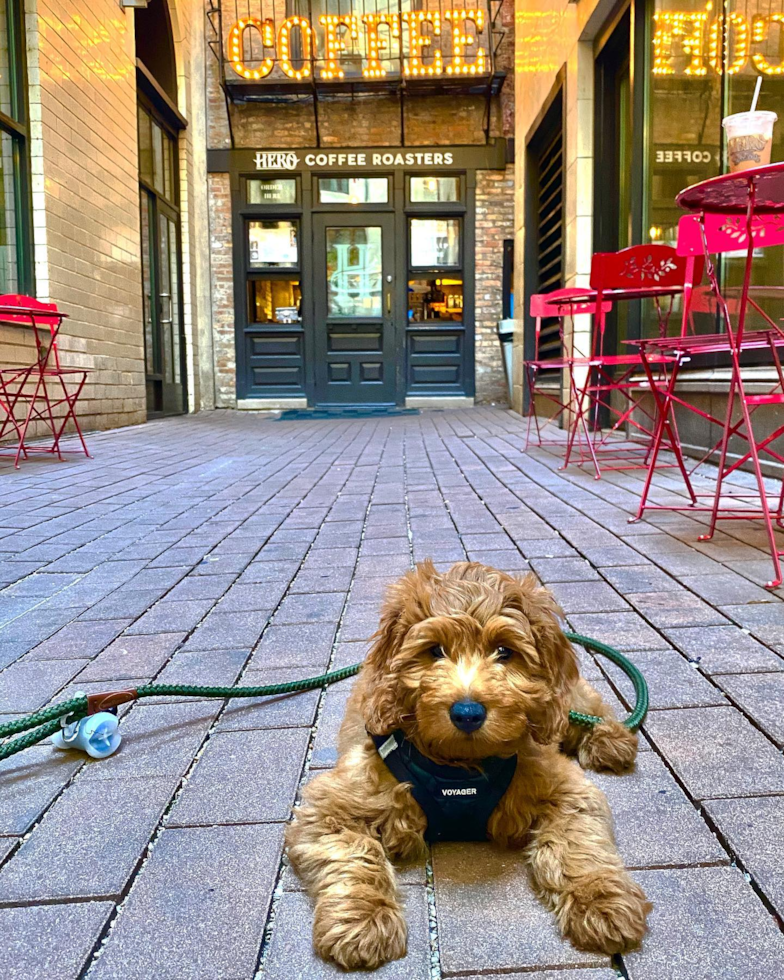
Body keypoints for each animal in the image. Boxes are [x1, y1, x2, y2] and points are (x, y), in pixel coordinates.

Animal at [286, 564, 648, 968]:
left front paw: (602, 902)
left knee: (588, 707)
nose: (468, 712)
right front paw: (363, 919)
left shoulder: (568, 789)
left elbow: (578, 845)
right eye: (434, 651)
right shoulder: (331, 804)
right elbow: (354, 855)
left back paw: (610, 740)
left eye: (504, 651)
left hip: (569, 700)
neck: (459, 765)